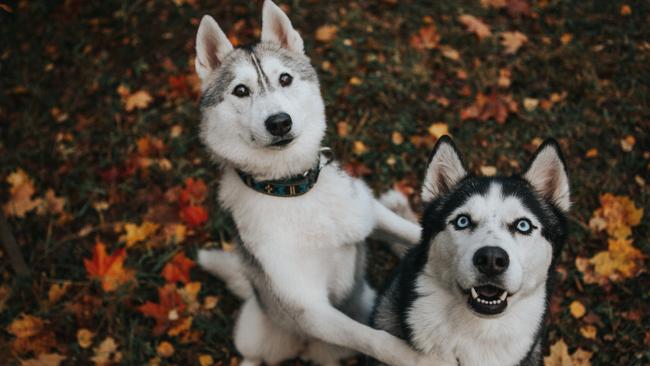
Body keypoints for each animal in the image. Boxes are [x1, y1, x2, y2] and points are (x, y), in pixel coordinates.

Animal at [192, 1, 440, 364]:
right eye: (240, 90)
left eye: (285, 78)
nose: (279, 122)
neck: (293, 190)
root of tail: (303, 349)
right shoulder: (310, 309)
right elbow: (373, 338)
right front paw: (417, 357)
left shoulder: (371, 215)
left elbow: (411, 231)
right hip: (254, 329)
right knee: (253, 354)